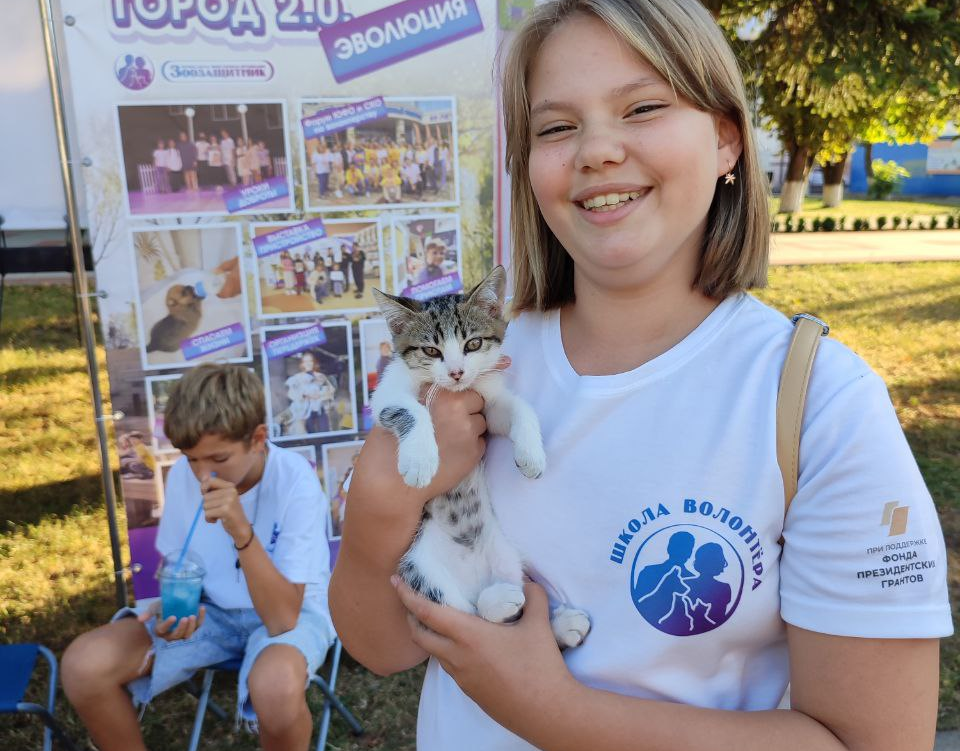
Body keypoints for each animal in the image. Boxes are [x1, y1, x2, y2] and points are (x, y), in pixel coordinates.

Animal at [372, 268, 588, 648]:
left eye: (472, 344)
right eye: (431, 350)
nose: (457, 372)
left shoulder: (490, 402)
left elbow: (518, 407)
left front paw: (531, 453)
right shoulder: (385, 393)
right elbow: (410, 409)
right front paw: (420, 460)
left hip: (505, 555)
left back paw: (557, 623)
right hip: (419, 570)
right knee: (464, 618)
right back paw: (501, 603)